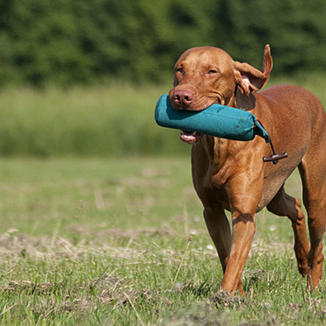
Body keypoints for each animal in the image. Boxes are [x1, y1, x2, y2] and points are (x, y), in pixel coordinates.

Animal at [169, 44, 326, 296]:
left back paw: (312, 285)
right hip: (273, 196)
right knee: (294, 206)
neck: (219, 142)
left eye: (212, 71)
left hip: (315, 193)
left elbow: (235, 259)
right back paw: (302, 259)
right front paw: (237, 296)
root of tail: (306, 92)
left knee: (317, 240)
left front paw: (224, 298)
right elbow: (227, 256)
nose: (181, 96)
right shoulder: (212, 212)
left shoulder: (243, 214)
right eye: (179, 69)